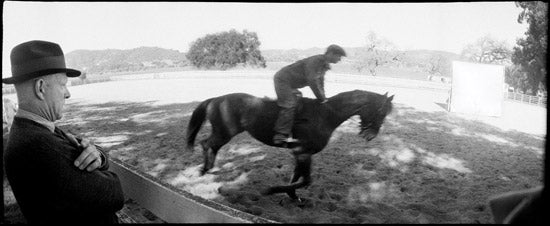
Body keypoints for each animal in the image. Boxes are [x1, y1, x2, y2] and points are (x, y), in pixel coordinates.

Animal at [188, 89, 394, 200]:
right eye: (381, 112)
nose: (371, 135)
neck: (325, 115)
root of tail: (216, 99)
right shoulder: (303, 153)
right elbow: (306, 180)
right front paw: (271, 190)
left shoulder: (300, 154)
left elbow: (296, 177)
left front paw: (293, 196)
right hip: (224, 132)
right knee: (206, 143)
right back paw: (203, 170)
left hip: (223, 133)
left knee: (211, 145)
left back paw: (208, 168)